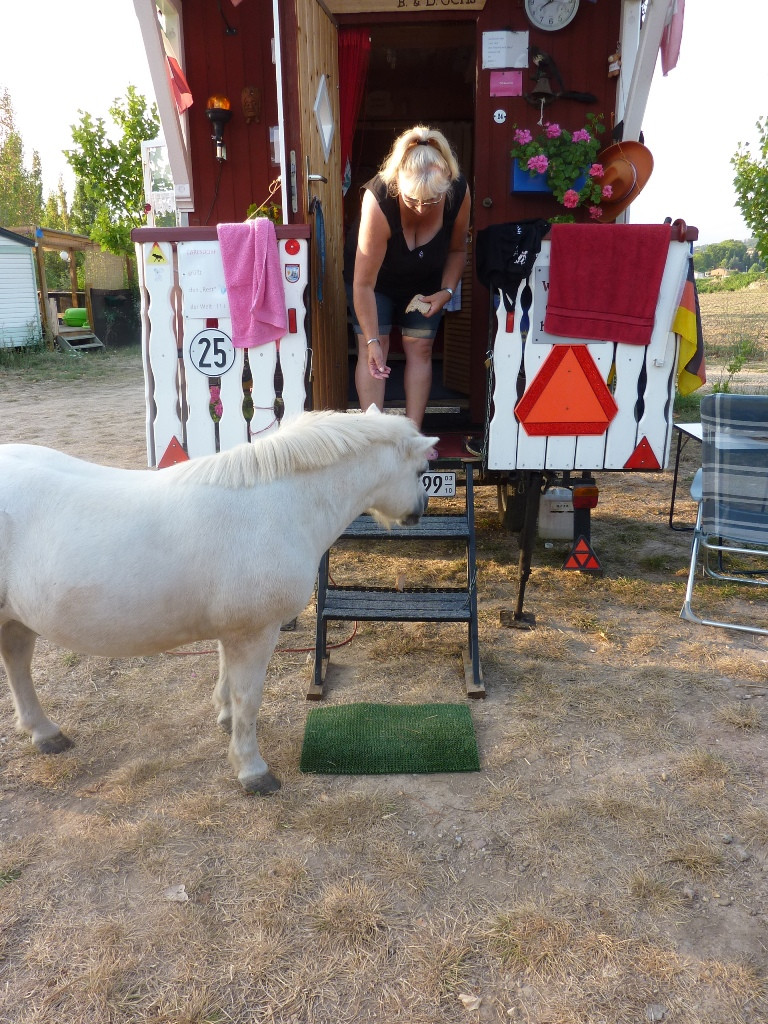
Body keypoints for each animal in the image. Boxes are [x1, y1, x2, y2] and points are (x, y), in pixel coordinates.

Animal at [0, 405, 436, 790]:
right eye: (422, 471)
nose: (420, 510)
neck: (280, 504)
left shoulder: (233, 632)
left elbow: (227, 678)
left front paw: (225, 719)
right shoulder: (256, 632)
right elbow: (249, 698)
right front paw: (252, 769)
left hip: (14, 620)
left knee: (17, 665)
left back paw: (44, 732)